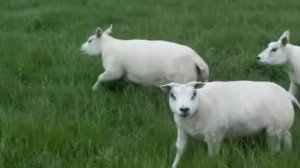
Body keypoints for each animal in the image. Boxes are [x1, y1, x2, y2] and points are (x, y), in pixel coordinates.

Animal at [81, 24, 210, 90]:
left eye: (90, 40)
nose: (81, 48)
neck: (106, 46)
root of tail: (197, 60)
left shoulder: (114, 71)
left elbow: (100, 78)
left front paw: (94, 89)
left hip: (184, 82)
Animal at [161, 80, 296, 167]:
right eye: (172, 95)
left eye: (194, 94)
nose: (184, 109)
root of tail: (287, 94)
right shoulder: (182, 130)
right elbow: (180, 150)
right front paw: (174, 165)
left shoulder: (214, 136)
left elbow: (212, 156)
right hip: (282, 126)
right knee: (288, 137)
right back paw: (288, 154)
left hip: (275, 129)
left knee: (275, 148)